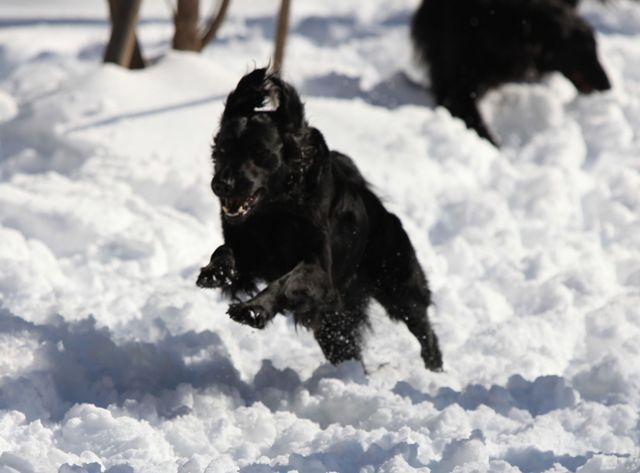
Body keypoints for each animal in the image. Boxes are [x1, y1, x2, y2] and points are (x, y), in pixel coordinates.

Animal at [196, 67, 444, 368]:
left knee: (422, 325)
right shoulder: (248, 250)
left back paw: (433, 367)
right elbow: (224, 250)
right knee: (347, 348)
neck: (273, 212)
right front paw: (216, 271)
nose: (221, 184)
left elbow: (285, 281)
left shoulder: (320, 273)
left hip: (398, 280)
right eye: (222, 149)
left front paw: (253, 309)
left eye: (259, 152)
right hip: (334, 322)